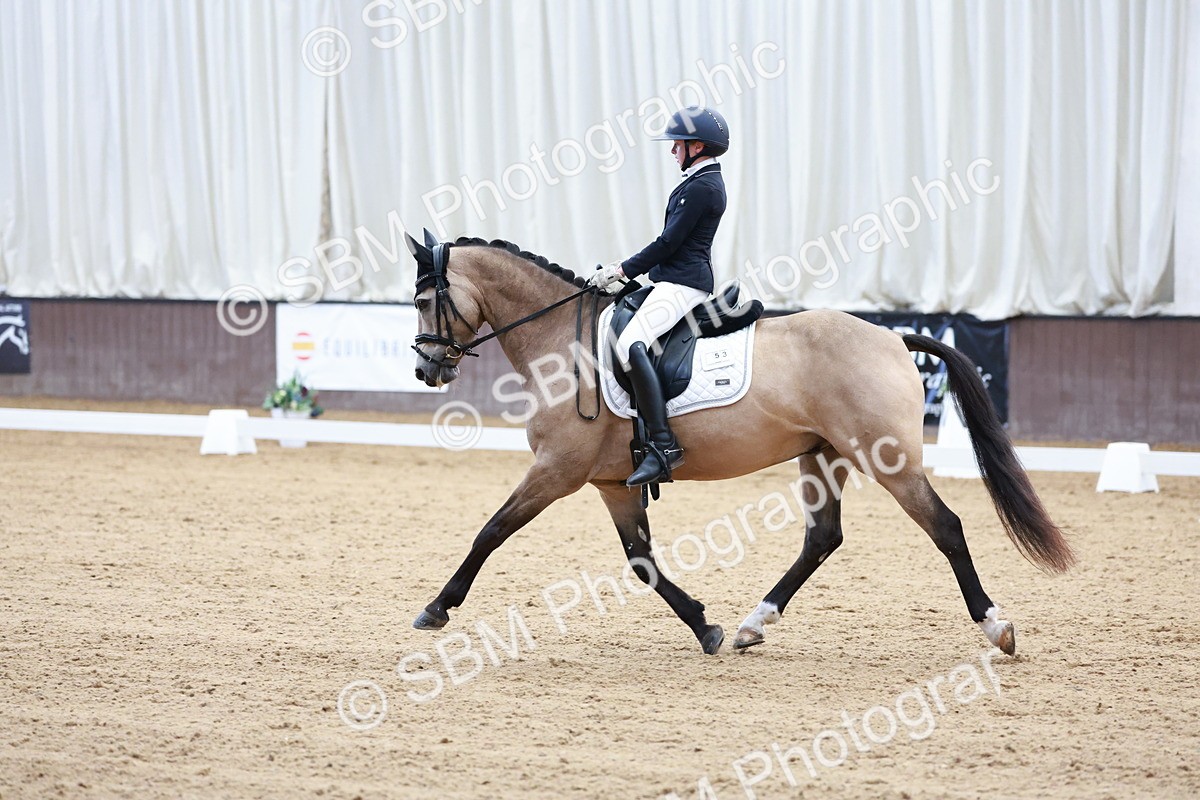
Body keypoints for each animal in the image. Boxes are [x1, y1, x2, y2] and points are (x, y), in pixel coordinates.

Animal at [405, 232, 1075, 656]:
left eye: (422, 300)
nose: (426, 369)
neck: (559, 342)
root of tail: (890, 336)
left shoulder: (556, 471)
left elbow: (490, 531)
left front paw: (437, 608)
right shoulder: (609, 482)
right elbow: (641, 560)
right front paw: (705, 627)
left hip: (885, 459)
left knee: (946, 526)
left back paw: (996, 627)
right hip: (821, 455)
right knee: (822, 538)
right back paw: (755, 624)